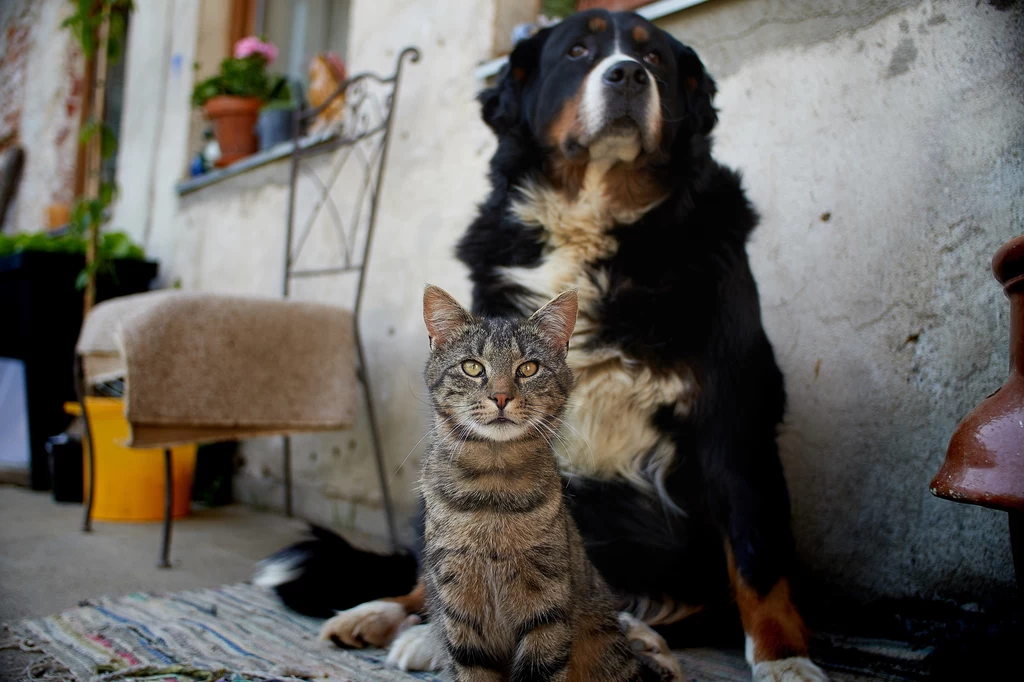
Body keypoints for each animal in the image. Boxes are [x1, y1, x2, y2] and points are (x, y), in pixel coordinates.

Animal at [401, 284, 688, 679]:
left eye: (528, 368)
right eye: (472, 367)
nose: (501, 396)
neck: (493, 486)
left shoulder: (546, 601)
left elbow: (542, 664)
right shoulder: (458, 601)